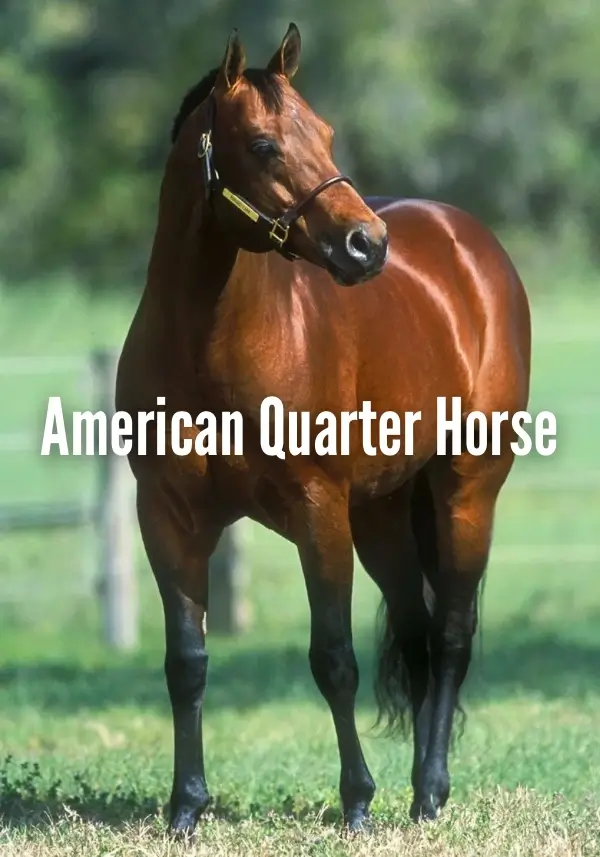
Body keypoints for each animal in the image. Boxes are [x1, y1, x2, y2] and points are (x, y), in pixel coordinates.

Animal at [116, 22, 531, 838]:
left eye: (328, 133)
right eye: (263, 144)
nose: (367, 246)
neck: (211, 346)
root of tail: (471, 245)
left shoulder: (318, 513)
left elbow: (334, 657)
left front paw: (358, 802)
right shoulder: (168, 519)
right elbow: (187, 662)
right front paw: (186, 807)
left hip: (467, 492)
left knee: (451, 635)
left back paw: (429, 792)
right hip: (383, 516)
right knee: (417, 636)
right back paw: (420, 793)